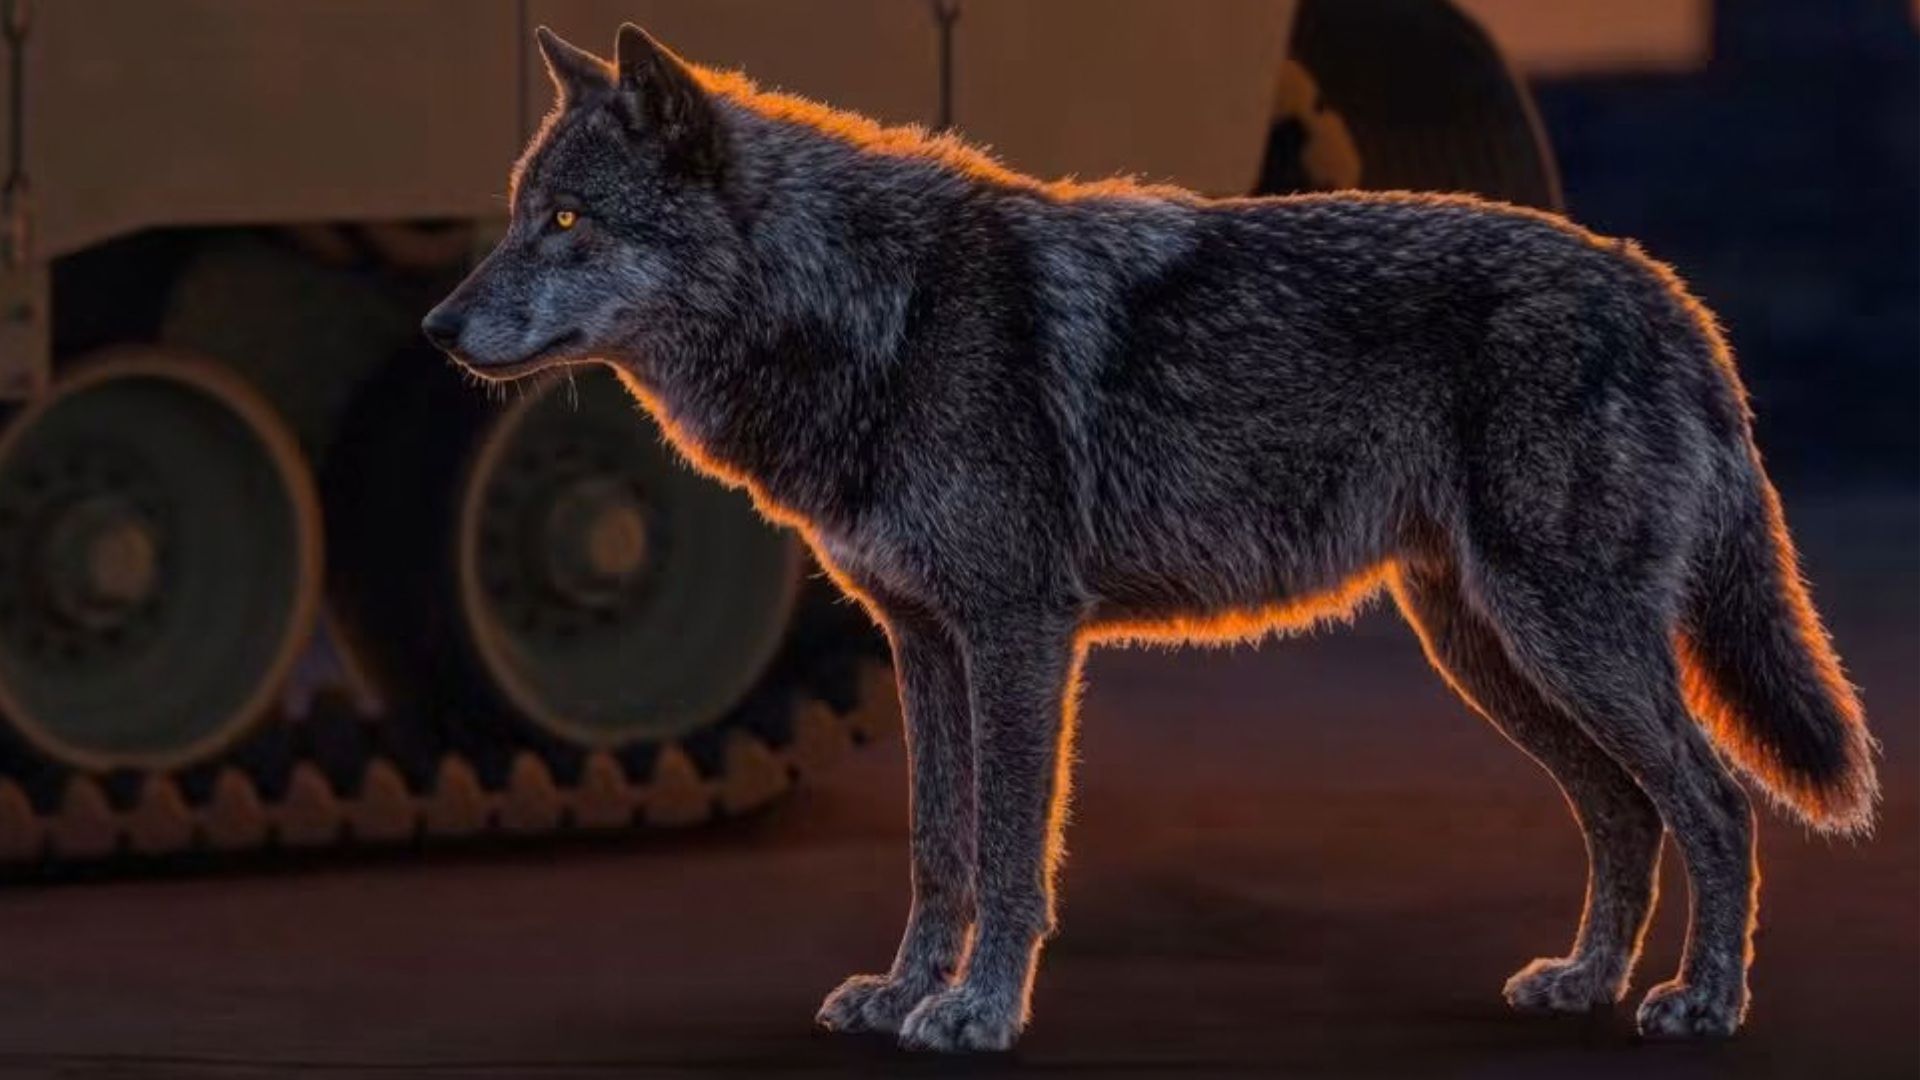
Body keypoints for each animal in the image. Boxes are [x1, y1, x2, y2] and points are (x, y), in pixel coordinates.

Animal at [422, 25, 1878, 1053]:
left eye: (565, 222)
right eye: (516, 212)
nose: (437, 328)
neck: (874, 315)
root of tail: (1667, 288)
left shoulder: (1020, 634)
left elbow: (1011, 850)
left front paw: (978, 1015)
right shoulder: (924, 643)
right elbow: (937, 848)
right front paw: (903, 996)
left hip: (1562, 644)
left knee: (1715, 802)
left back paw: (1702, 1007)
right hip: (1491, 654)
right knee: (1628, 814)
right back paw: (1585, 982)